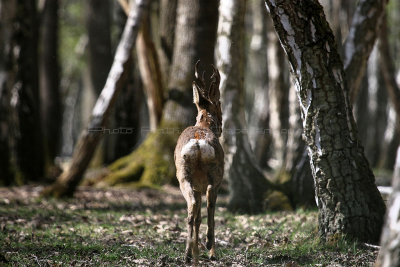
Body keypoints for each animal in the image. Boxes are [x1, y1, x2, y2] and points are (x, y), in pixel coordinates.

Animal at [174, 61, 225, 264]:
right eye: (219, 103)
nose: (222, 125)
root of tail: (197, 143)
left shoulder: (197, 186)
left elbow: (197, 219)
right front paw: (209, 251)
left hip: (184, 176)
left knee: (192, 210)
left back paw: (188, 254)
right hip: (215, 174)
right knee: (209, 203)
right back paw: (209, 245)